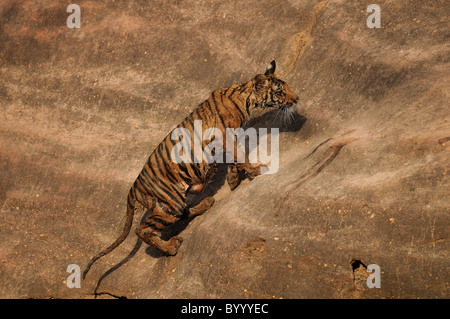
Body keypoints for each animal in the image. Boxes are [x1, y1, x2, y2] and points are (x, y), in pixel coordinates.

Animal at [81, 60, 298, 280]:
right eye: (280, 91)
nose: (296, 99)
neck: (246, 97)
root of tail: (133, 188)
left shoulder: (226, 140)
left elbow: (233, 158)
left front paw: (234, 179)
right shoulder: (225, 135)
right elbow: (239, 154)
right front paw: (255, 170)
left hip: (175, 201)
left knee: (183, 212)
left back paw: (206, 203)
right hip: (170, 204)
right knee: (143, 230)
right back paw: (171, 247)